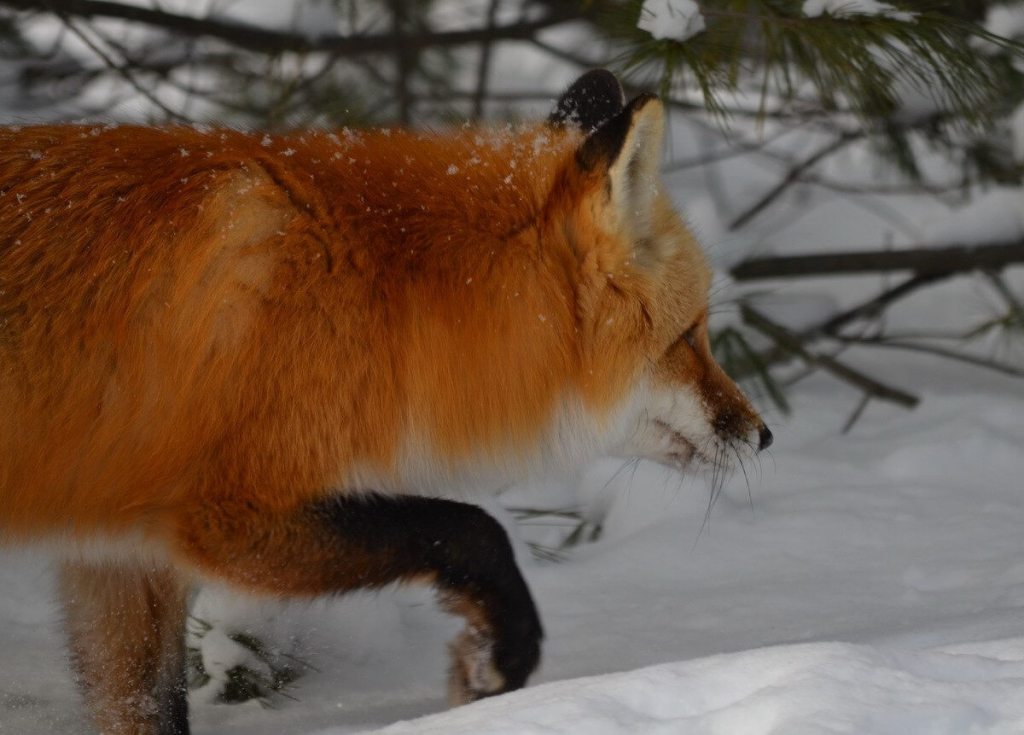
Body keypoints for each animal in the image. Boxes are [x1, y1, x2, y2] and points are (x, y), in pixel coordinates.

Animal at [0, 70, 770, 735]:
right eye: (690, 336)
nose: (763, 435)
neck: (379, 287)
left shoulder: (117, 553)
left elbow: (145, 706)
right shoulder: (223, 517)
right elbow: (469, 528)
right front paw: (501, 654)